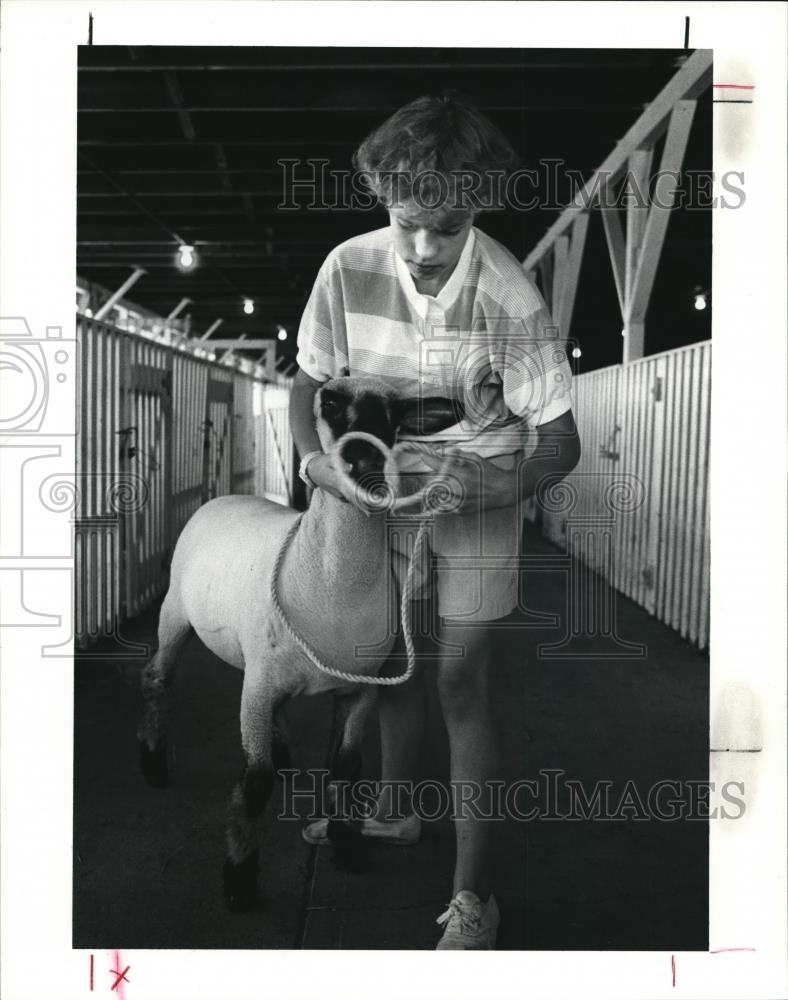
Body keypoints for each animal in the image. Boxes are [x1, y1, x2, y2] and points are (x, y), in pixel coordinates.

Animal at [139, 376, 464, 916]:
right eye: (329, 400)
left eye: (393, 415)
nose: (361, 456)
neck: (331, 591)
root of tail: (226, 495)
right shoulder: (257, 689)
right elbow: (254, 783)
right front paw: (240, 881)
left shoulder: (358, 690)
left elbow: (348, 769)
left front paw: (347, 845)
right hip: (174, 614)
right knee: (156, 680)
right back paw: (152, 762)